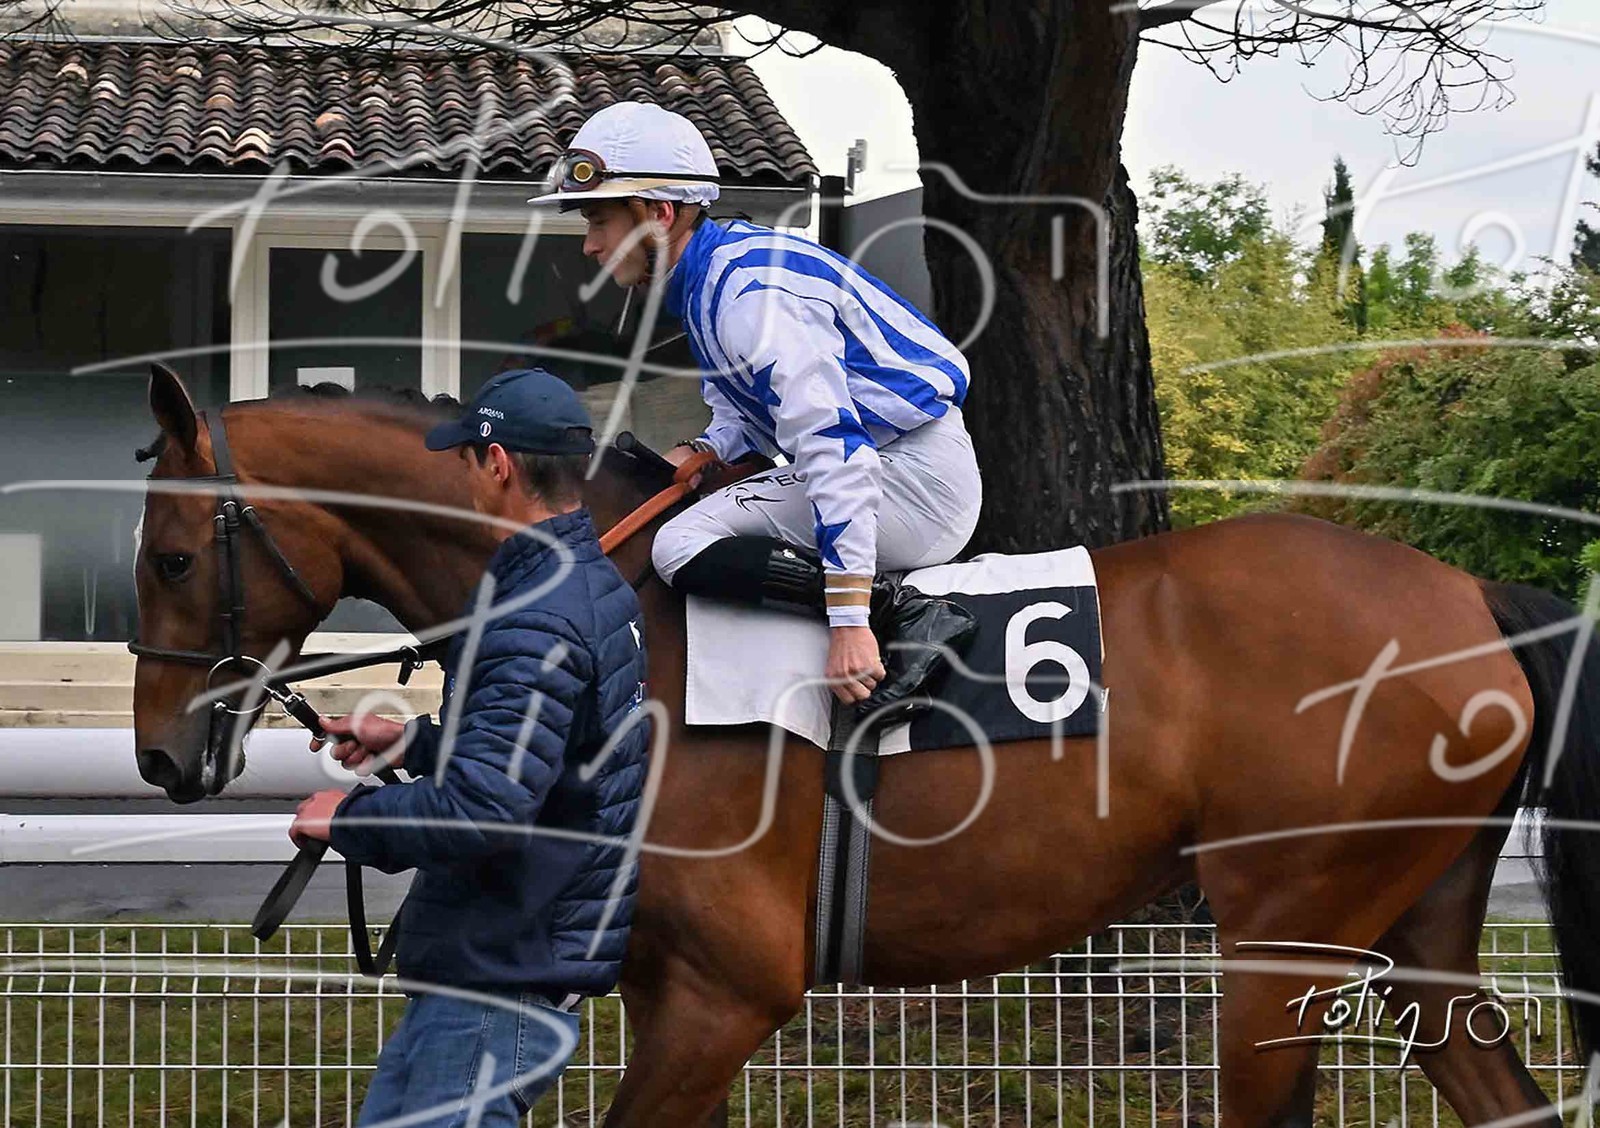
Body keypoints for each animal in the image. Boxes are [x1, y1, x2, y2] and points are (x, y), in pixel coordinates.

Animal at [127, 361, 1599, 1126]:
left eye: (173, 554)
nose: (159, 761)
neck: (633, 613)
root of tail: (1466, 596)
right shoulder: (667, 986)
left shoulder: (730, 990)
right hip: (1413, 923)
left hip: (1282, 935)